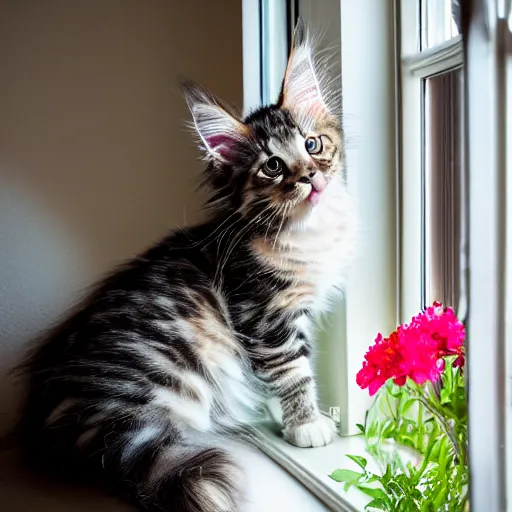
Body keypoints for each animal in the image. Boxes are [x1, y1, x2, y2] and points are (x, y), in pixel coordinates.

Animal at [19, 22, 356, 512]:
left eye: (313, 145)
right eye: (273, 167)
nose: (310, 177)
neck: (306, 230)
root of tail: (59, 414)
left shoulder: (295, 313)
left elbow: (289, 366)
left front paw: (284, 414)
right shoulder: (264, 315)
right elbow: (291, 370)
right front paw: (305, 424)